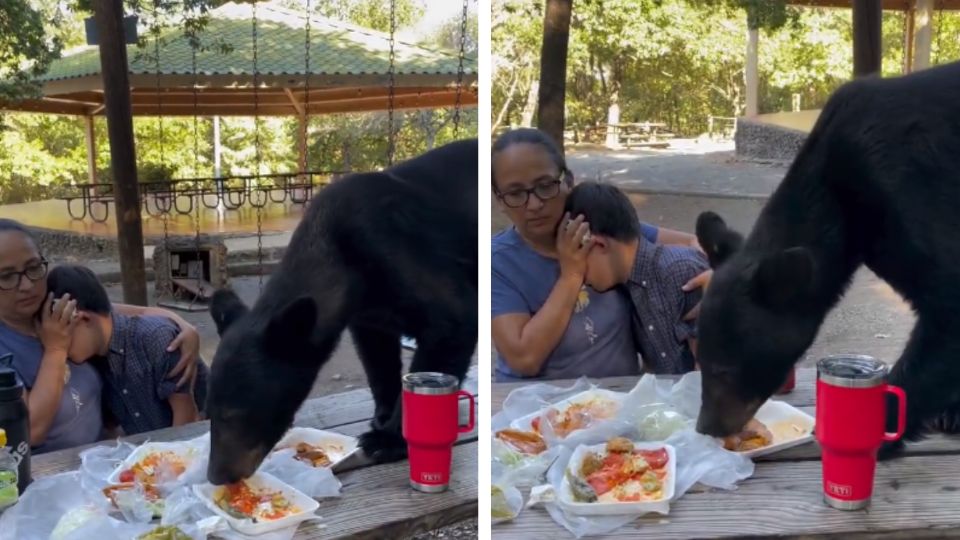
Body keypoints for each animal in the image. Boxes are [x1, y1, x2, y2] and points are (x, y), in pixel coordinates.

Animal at [205, 137, 476, 484]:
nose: (217, 475)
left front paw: (387, 439)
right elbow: (377, 356)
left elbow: (453, 319)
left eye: (236, 415)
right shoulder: (370, 314)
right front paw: (382, 415)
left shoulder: (400, 249)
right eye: (209, 413)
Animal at [692, 60, 960, 460]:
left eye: (724, 369)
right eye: (699, 360)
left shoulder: (913, 189)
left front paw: (879, 432)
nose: (706, 426)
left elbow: (948, 304)